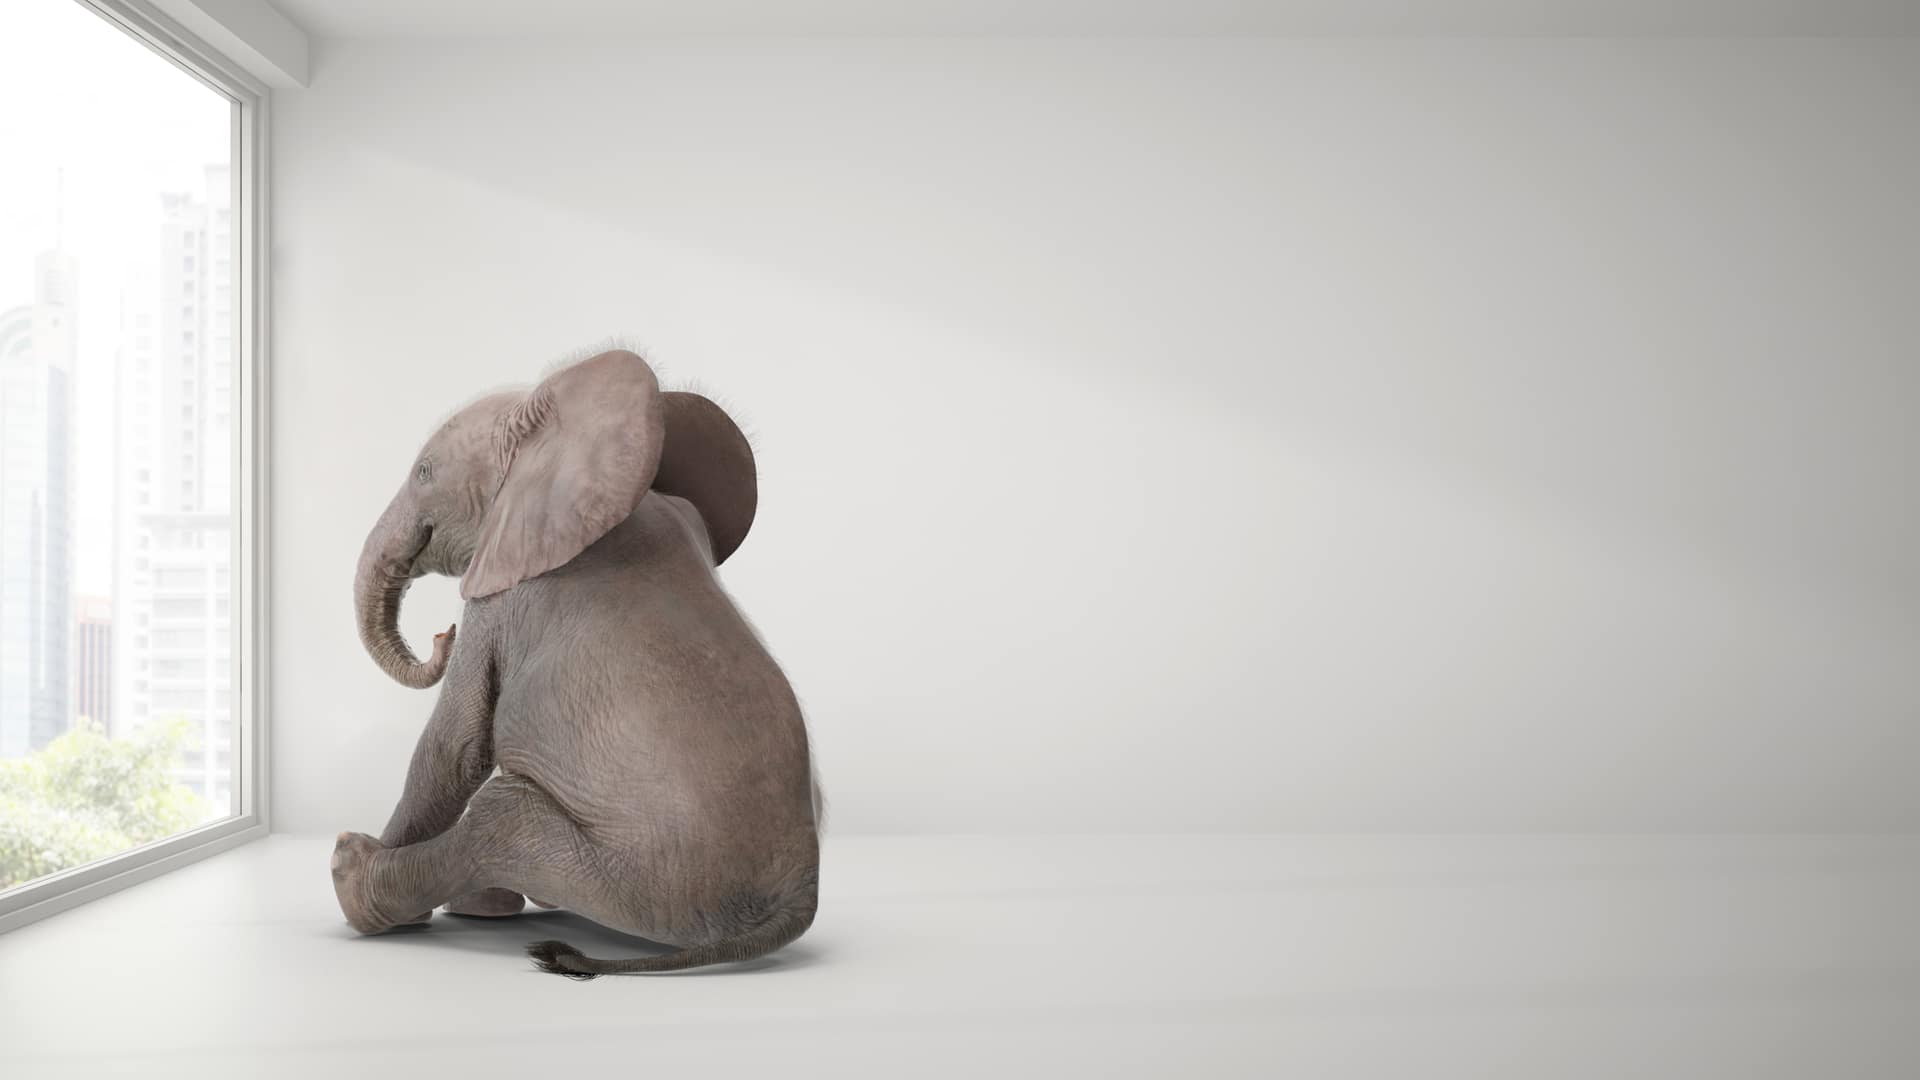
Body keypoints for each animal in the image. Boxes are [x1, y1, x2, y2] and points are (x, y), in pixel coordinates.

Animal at [329, 348, 820, 977]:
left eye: (424, 473)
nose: (442, 634)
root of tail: (796, 900)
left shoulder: (502, 594)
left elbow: (456, 747)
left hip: (631, 878)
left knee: (498, 818)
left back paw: (354, 873)